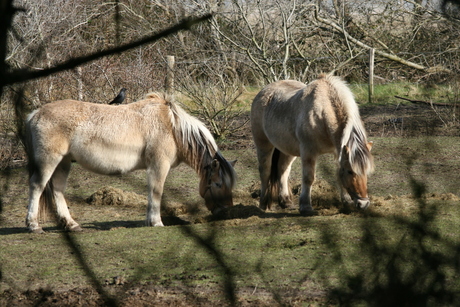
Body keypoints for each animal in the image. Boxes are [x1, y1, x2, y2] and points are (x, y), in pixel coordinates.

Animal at [24, 92, 237, 233]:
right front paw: (156, 222)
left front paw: (149, 220)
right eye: (218, 184)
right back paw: (34, 225)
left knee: (58, 190)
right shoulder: (159, 166)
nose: (226, 211)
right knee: (37, 186)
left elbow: (151, 193)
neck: (171, 127)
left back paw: (71, 224)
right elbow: (156, 192)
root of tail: (36, 114)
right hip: (49, 160)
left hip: (64, 162)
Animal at [252, 74, 374, 215]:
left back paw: (286, 202)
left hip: (287, 149)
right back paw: (263, 203)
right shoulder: (308, 151)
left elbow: (338, 174)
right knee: (265, 170)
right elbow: (308, 177)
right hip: (263, 144)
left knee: (282, 169)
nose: (364, 204)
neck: (322, 113)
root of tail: (263, 92)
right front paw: (306, 207)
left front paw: (347, 202)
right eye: (350, 171)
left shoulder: (337, 151)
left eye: (366, 171)